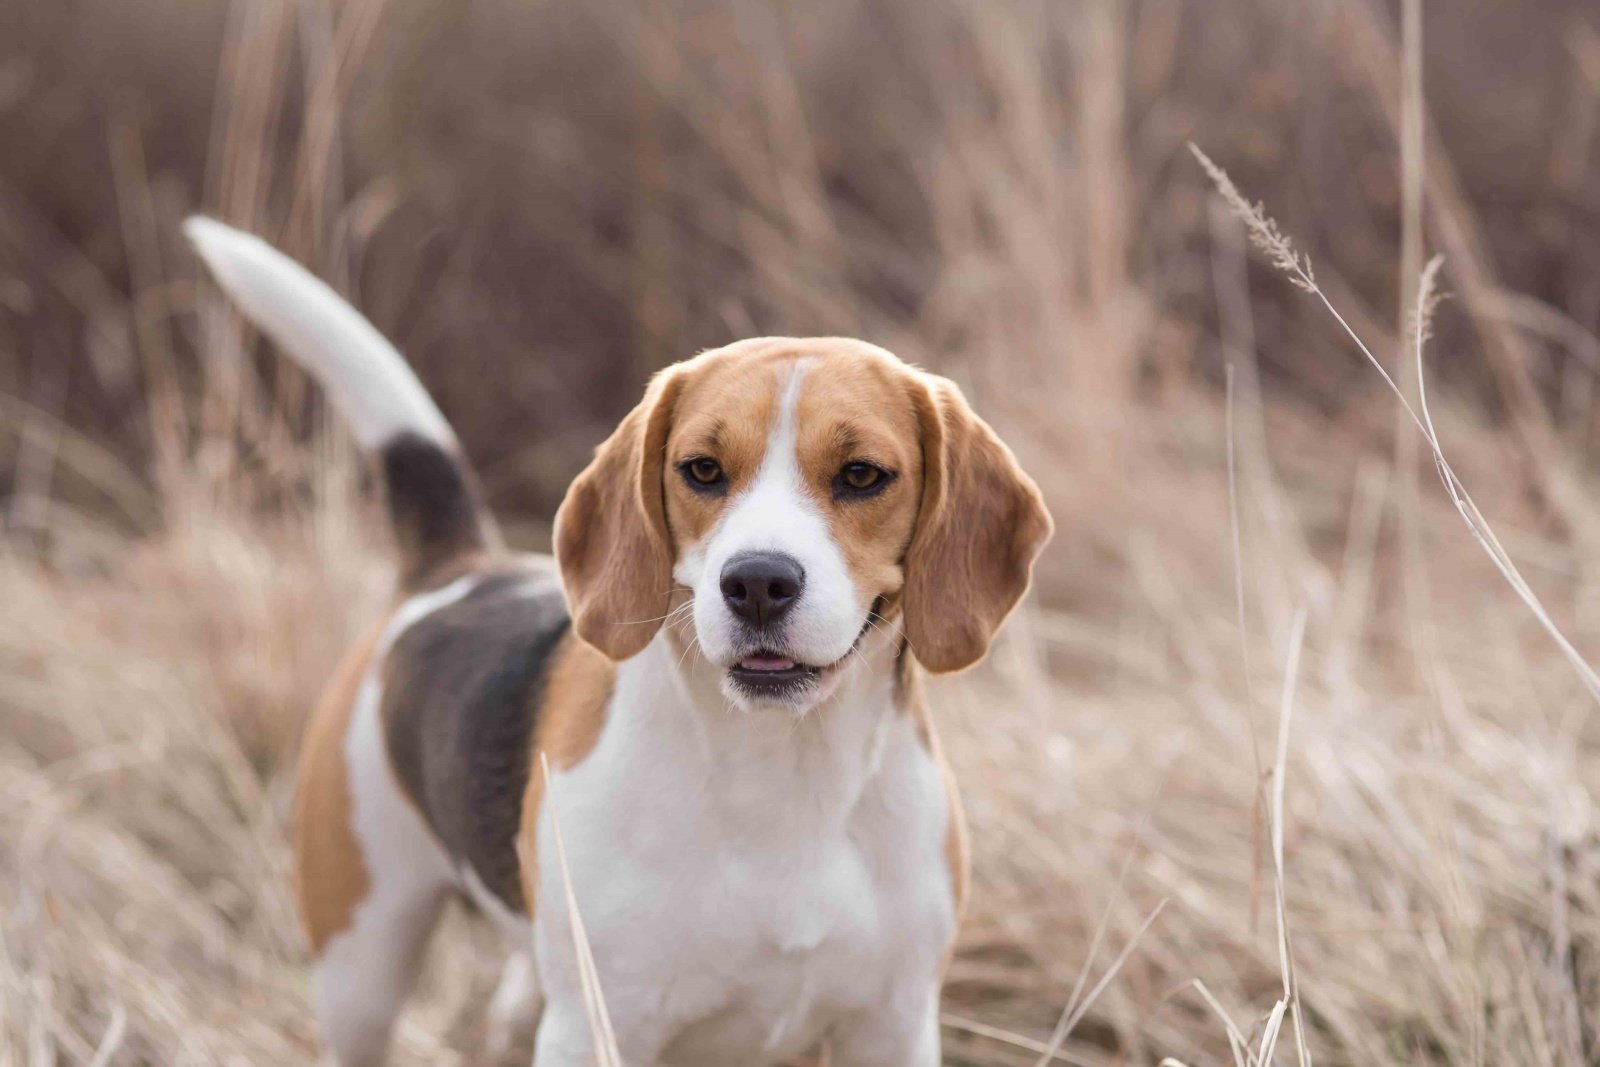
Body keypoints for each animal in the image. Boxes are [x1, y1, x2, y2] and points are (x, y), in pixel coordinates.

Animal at [187, 219, 1049, 1067]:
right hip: (360, 958)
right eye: (702, 469)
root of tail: (461, 566)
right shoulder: (596, 1025)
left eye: (863, 474)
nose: (757, 582)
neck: (783, 772)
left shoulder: (893, 1024)